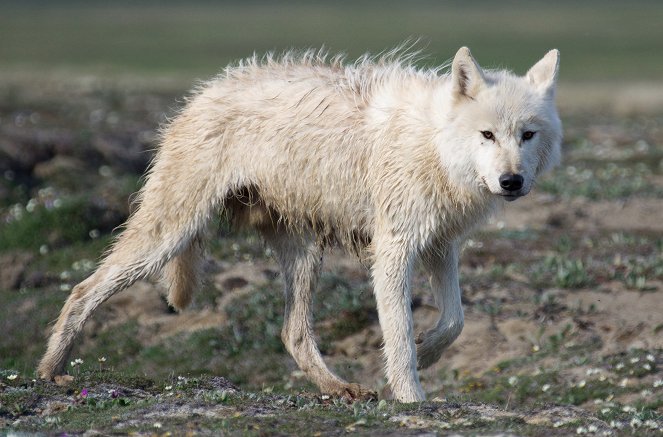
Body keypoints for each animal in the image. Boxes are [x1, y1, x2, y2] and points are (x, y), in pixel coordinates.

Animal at [39, 46, 564, 400]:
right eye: (487, 134)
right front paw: (411, 398)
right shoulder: (393, 249)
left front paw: (429, 352)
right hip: (169, 236)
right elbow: (398, 339)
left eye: (527, 135)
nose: (512, 181)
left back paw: (338, 388)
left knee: (292, 333)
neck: (434, 143)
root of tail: (202, 94)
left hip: (306, 254)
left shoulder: (439, 245)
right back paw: (49, 371)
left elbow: (454, 320)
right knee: (83, 289)